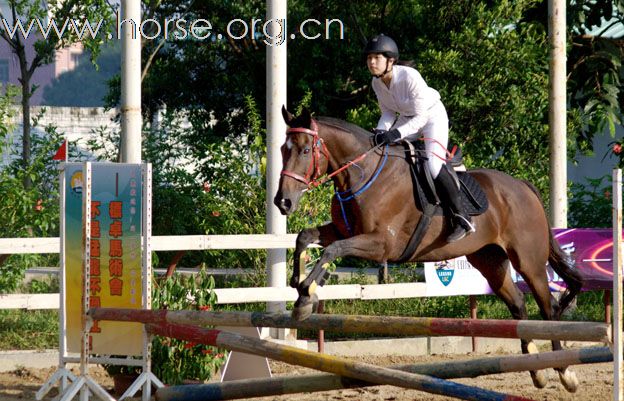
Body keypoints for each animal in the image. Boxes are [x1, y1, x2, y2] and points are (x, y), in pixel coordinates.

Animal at [272, 105, 584, 390]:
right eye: (282, 150)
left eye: (304, 151)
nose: (282, 202)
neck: (362, 175)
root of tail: (521, 186)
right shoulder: (344, 231)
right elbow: (304, 236)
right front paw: (299, 286)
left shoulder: (381, 244)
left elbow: (333, 250)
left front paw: (306, 295)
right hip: (489, 260)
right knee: (519, 305)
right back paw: (536, 370)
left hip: (528, 261)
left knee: (548, 308)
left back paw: (565, 372)